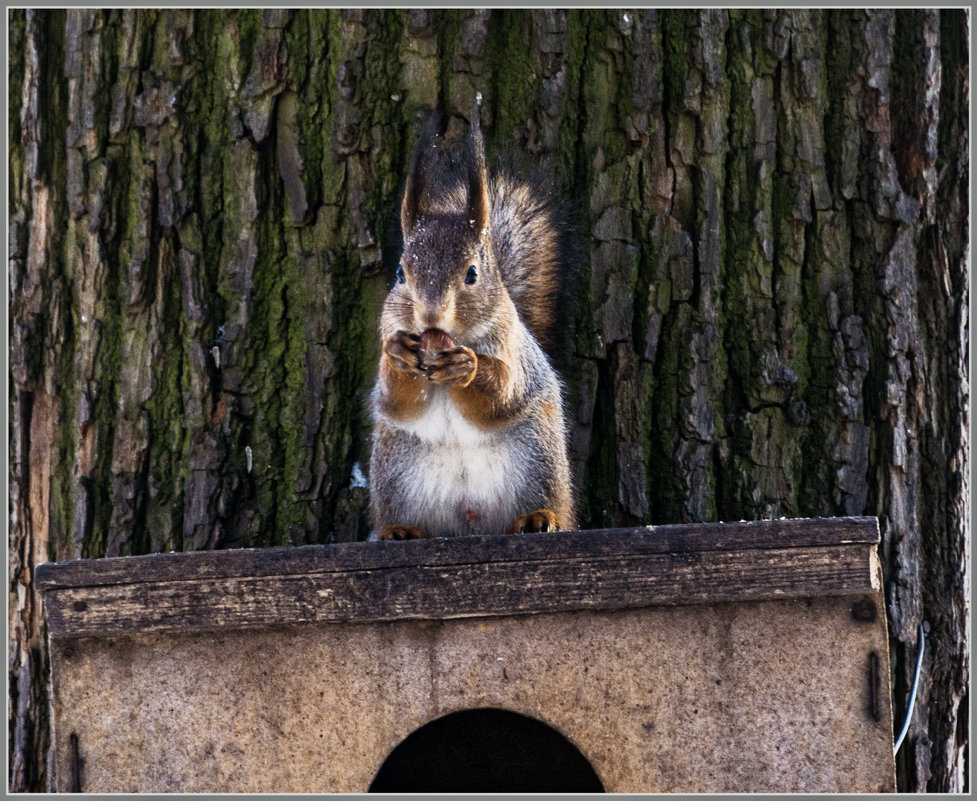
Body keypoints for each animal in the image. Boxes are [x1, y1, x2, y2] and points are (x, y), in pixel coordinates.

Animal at [370, 111, 576, 536]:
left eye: (472, 274)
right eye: (400, 273)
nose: (430, 315)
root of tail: (470, 521)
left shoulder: (513, 349)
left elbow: (501, 392)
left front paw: (467, 366)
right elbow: (398, 399)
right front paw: (398, 355)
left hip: (539, 462)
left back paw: (539, 517)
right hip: (395, 473)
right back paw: (400, 530)